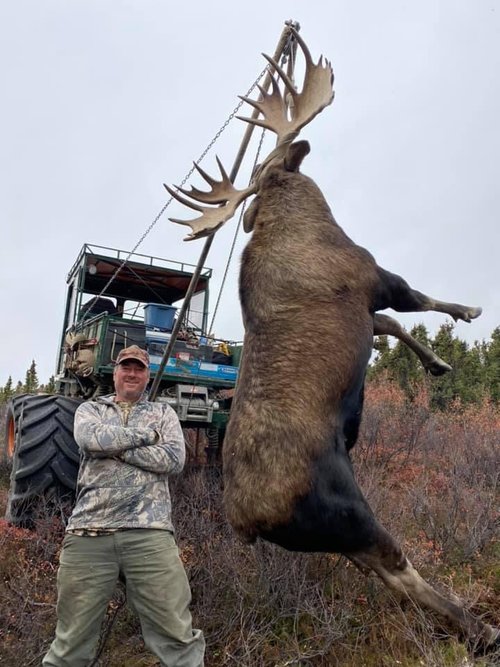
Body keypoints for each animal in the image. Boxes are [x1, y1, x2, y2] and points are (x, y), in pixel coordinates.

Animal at [166, 28, 498, 650]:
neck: (300, 213)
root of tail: (248, 522)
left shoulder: (365, 306)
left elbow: (395, 327)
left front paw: (438, 364)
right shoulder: (372, 276)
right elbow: (417, 301)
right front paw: (468, 311)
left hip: (330, 535)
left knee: (381, 570)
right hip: (344, 508)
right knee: (396, 562)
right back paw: (480, 627)